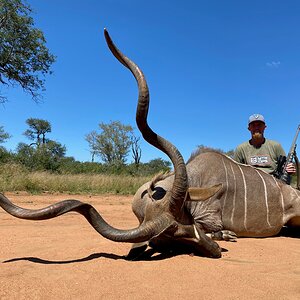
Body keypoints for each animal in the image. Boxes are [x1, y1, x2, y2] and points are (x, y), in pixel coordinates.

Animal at [0, 30, 300, 260]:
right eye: (176, 239)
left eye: (186, 223)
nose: (215, 251)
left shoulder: (209, 215)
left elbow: (216, 226)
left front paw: (225, 234)